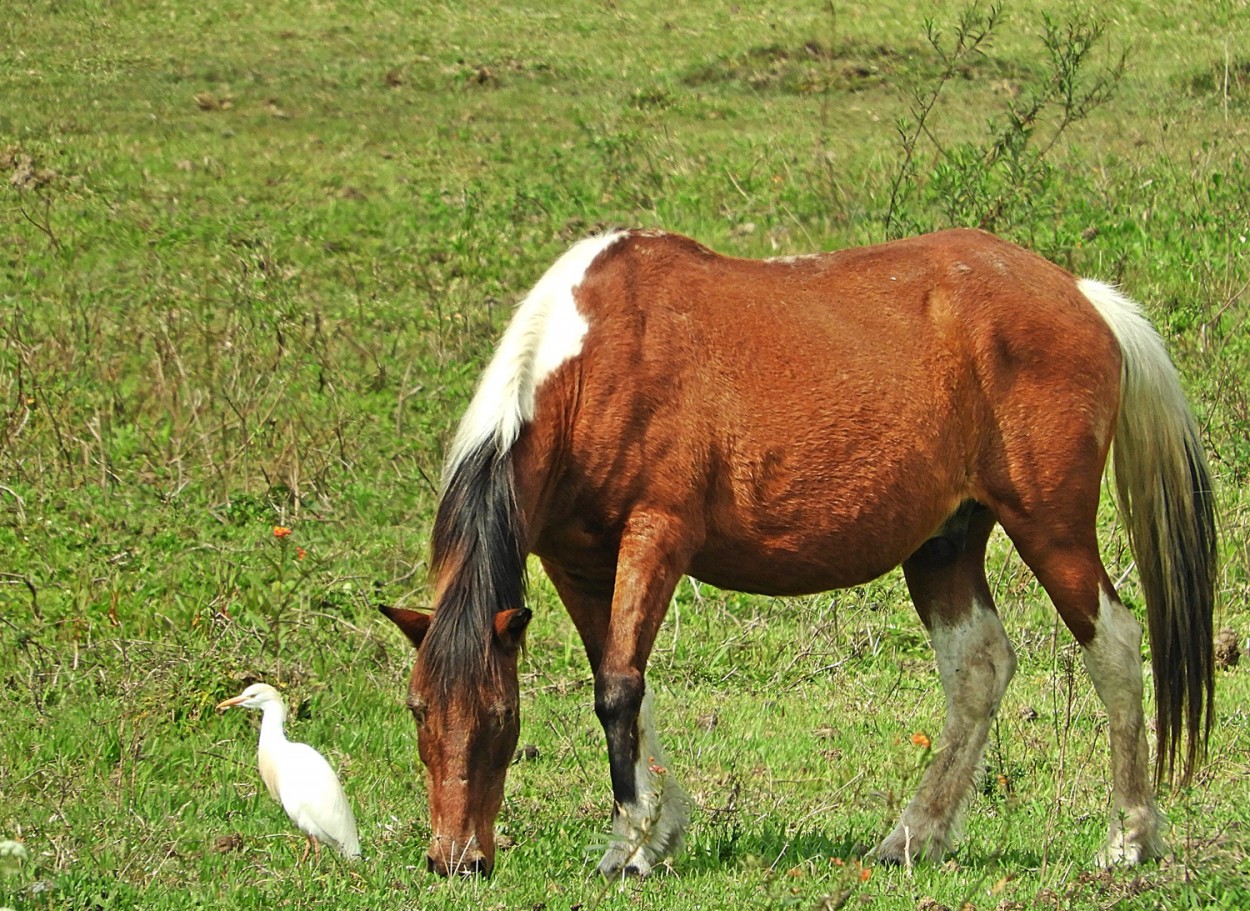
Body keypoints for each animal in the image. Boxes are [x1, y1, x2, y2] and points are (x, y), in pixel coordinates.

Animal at [382, 227, 1220, 874]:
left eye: (501, 716)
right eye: (418, 709)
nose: (456, 859)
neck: (594, 360)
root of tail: (1082, 295)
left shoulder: (656, 535)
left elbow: (618, 689)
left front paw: (631, 844)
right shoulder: (577, 560)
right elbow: (621, 683)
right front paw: (660, 824)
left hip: (1051, 527)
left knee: (1115, 648)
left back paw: (1129, 837)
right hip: (945, 544)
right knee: (979, 670)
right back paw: (913, 836)